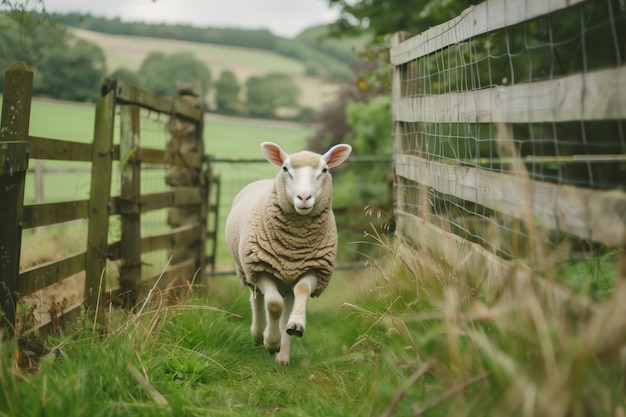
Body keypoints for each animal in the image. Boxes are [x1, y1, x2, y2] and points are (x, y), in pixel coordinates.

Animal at [224, 141, 352, 362]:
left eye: (324, 170)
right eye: (285, 169)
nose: (304, 197)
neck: (293, 247)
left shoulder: (314, 269)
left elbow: (301, 291)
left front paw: (295, 326)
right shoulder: (262, 269)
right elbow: (273, 304)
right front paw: (270, 341)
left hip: (286, 282)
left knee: (286, 308)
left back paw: (283, 355)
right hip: (247, 270)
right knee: (257, 299)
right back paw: (258, 334)